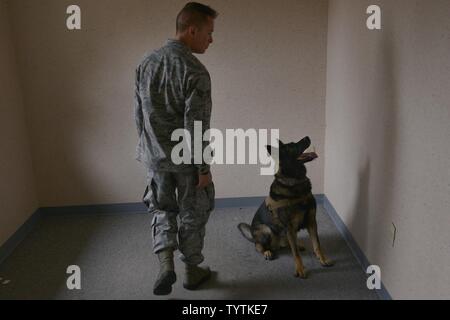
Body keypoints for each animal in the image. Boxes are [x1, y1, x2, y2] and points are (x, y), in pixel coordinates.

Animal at [237, 136, 332, 278]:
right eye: (292, 146)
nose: (308, 137)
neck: (296, 181)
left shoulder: (311, 221)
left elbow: (317, 244)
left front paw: (323, 259)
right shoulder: (290, 227)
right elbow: (295, 253)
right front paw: (300, 269)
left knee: (287, 243)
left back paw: (295, 244)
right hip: (266, 230)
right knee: (259, 246)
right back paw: (267, 252)